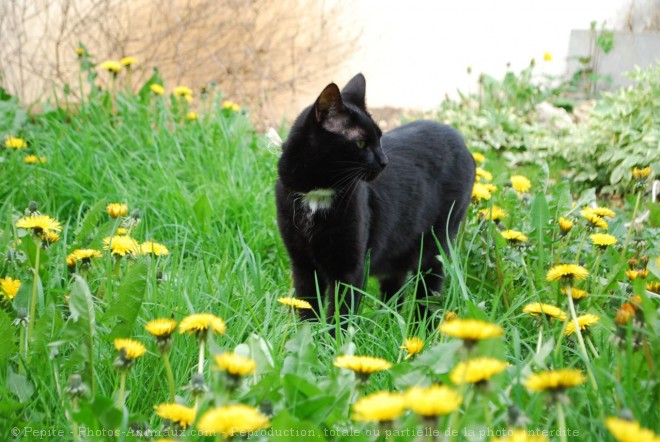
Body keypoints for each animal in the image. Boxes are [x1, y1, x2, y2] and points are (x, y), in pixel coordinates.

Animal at [274, 74, 474, 322]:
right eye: (360, 143)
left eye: (380, 138)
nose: (384, 161)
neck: (317, 196)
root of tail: (459, 136)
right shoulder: (302, 264)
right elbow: (306, 307)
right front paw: (308, 332)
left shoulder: (350, 269)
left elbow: (341, 314)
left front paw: (333, 333)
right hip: (398, 248)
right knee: (395, 290)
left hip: (436, 243)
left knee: (429, 291)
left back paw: (420, 326)